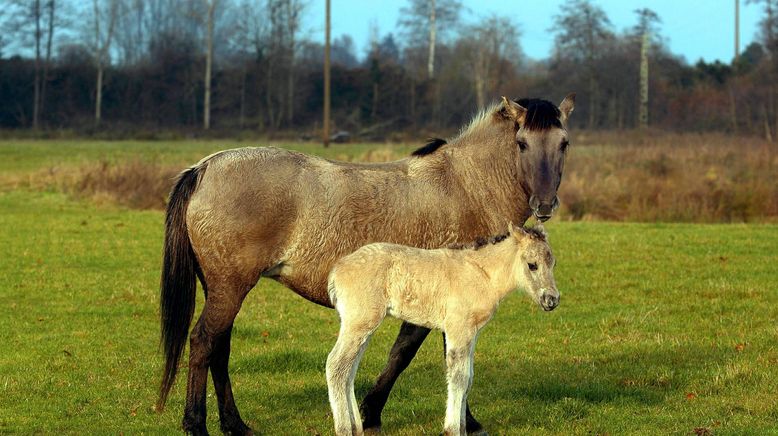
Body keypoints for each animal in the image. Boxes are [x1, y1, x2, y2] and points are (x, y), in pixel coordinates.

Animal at [322, 225, 556, 436]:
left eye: (553, 263)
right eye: (532, 265)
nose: (552, 300)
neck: (482, 274)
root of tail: (337, 269)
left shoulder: (472, 333)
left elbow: (469, 377)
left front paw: (464, 427)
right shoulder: (458, 329)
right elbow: (459, 377)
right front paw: (453, 429)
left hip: (361, 326)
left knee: (349, 370)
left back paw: (356, 428)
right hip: (359, 323)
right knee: (336, 365)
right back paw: (344, 429)